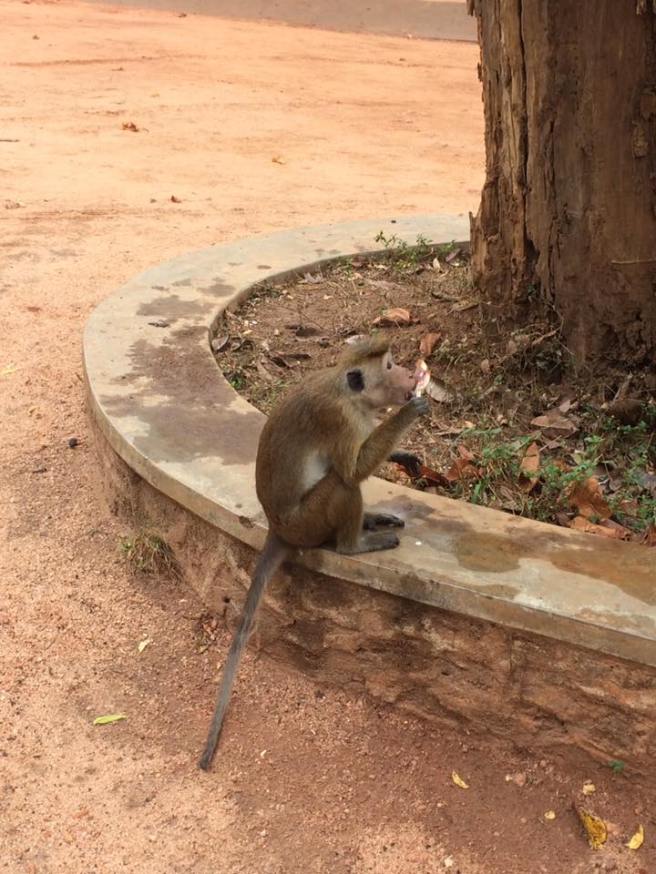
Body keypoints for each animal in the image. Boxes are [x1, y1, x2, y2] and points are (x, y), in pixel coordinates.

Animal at [198, 335, 428, 770]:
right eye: (390, 366)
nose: (410, 373)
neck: (351, 396)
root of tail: (277, 527)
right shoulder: (339, 419)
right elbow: (354, 471)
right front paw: (411, 411)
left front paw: (404, 455)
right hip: (308, 522)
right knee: (342, 483)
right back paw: (354, 544)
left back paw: (370, 522)